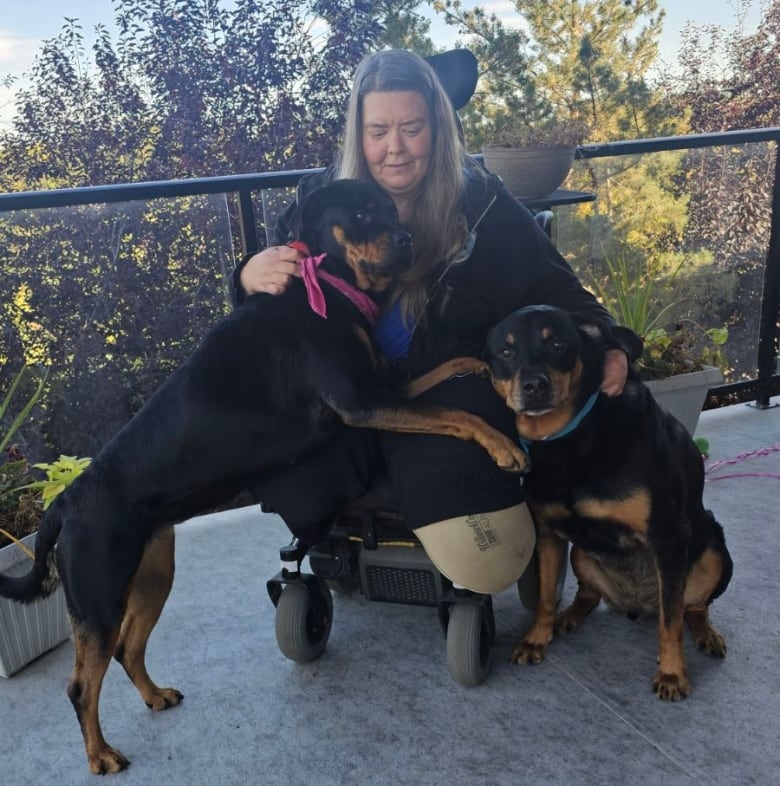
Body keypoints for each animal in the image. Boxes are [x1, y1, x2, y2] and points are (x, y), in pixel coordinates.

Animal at [1, 178, 524, 772]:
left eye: (391, 210)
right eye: (362, 214)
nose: (407, 239)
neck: (328, 287)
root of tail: (64, 503)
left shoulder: (379, 390)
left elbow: (441, 380)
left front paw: (477, 366)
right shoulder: (361, 400)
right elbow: (457, 414)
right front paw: (504, 444)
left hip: (153, 571)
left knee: (128, 648)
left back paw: (155, 696)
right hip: (98, 595)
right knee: (81, 685)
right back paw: (101, 755)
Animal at [488, 304, 732, 700]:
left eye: (557, 342)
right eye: (506, 351)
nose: (534, 385)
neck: (568, 438)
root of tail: (635, 605)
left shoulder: (669, 535)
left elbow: (670, 621)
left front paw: (672, 674)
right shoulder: (548, 533)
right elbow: (545, 596)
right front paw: (537, 639)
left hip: (713, 549)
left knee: (691, 607)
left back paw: (705, 633)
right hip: (581, 554)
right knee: (589, 594)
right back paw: (568, 617)